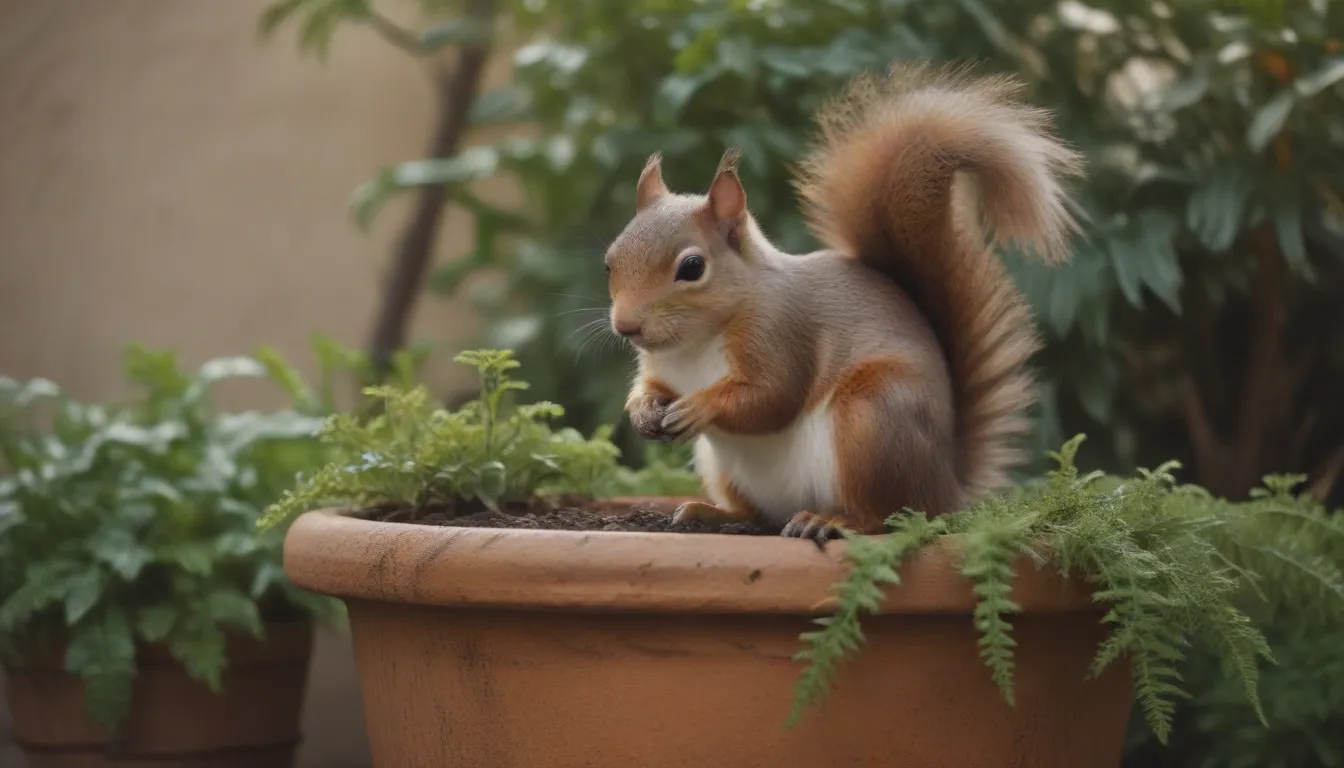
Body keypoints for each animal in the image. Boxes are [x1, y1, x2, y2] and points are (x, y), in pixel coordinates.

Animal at [604, 67, 1085, 546]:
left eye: (692, 267)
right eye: (610, 260)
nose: (626, 327)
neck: (696, 341)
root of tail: (947, 486)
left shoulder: (780, 333)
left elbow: (771, 396)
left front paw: (698, 406)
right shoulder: (661, 368)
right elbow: (651, 388)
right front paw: (642, 410)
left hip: (872, 419)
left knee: (886, 516)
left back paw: (830, 522)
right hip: (723, 466)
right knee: (755, 514)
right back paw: (709, 512)